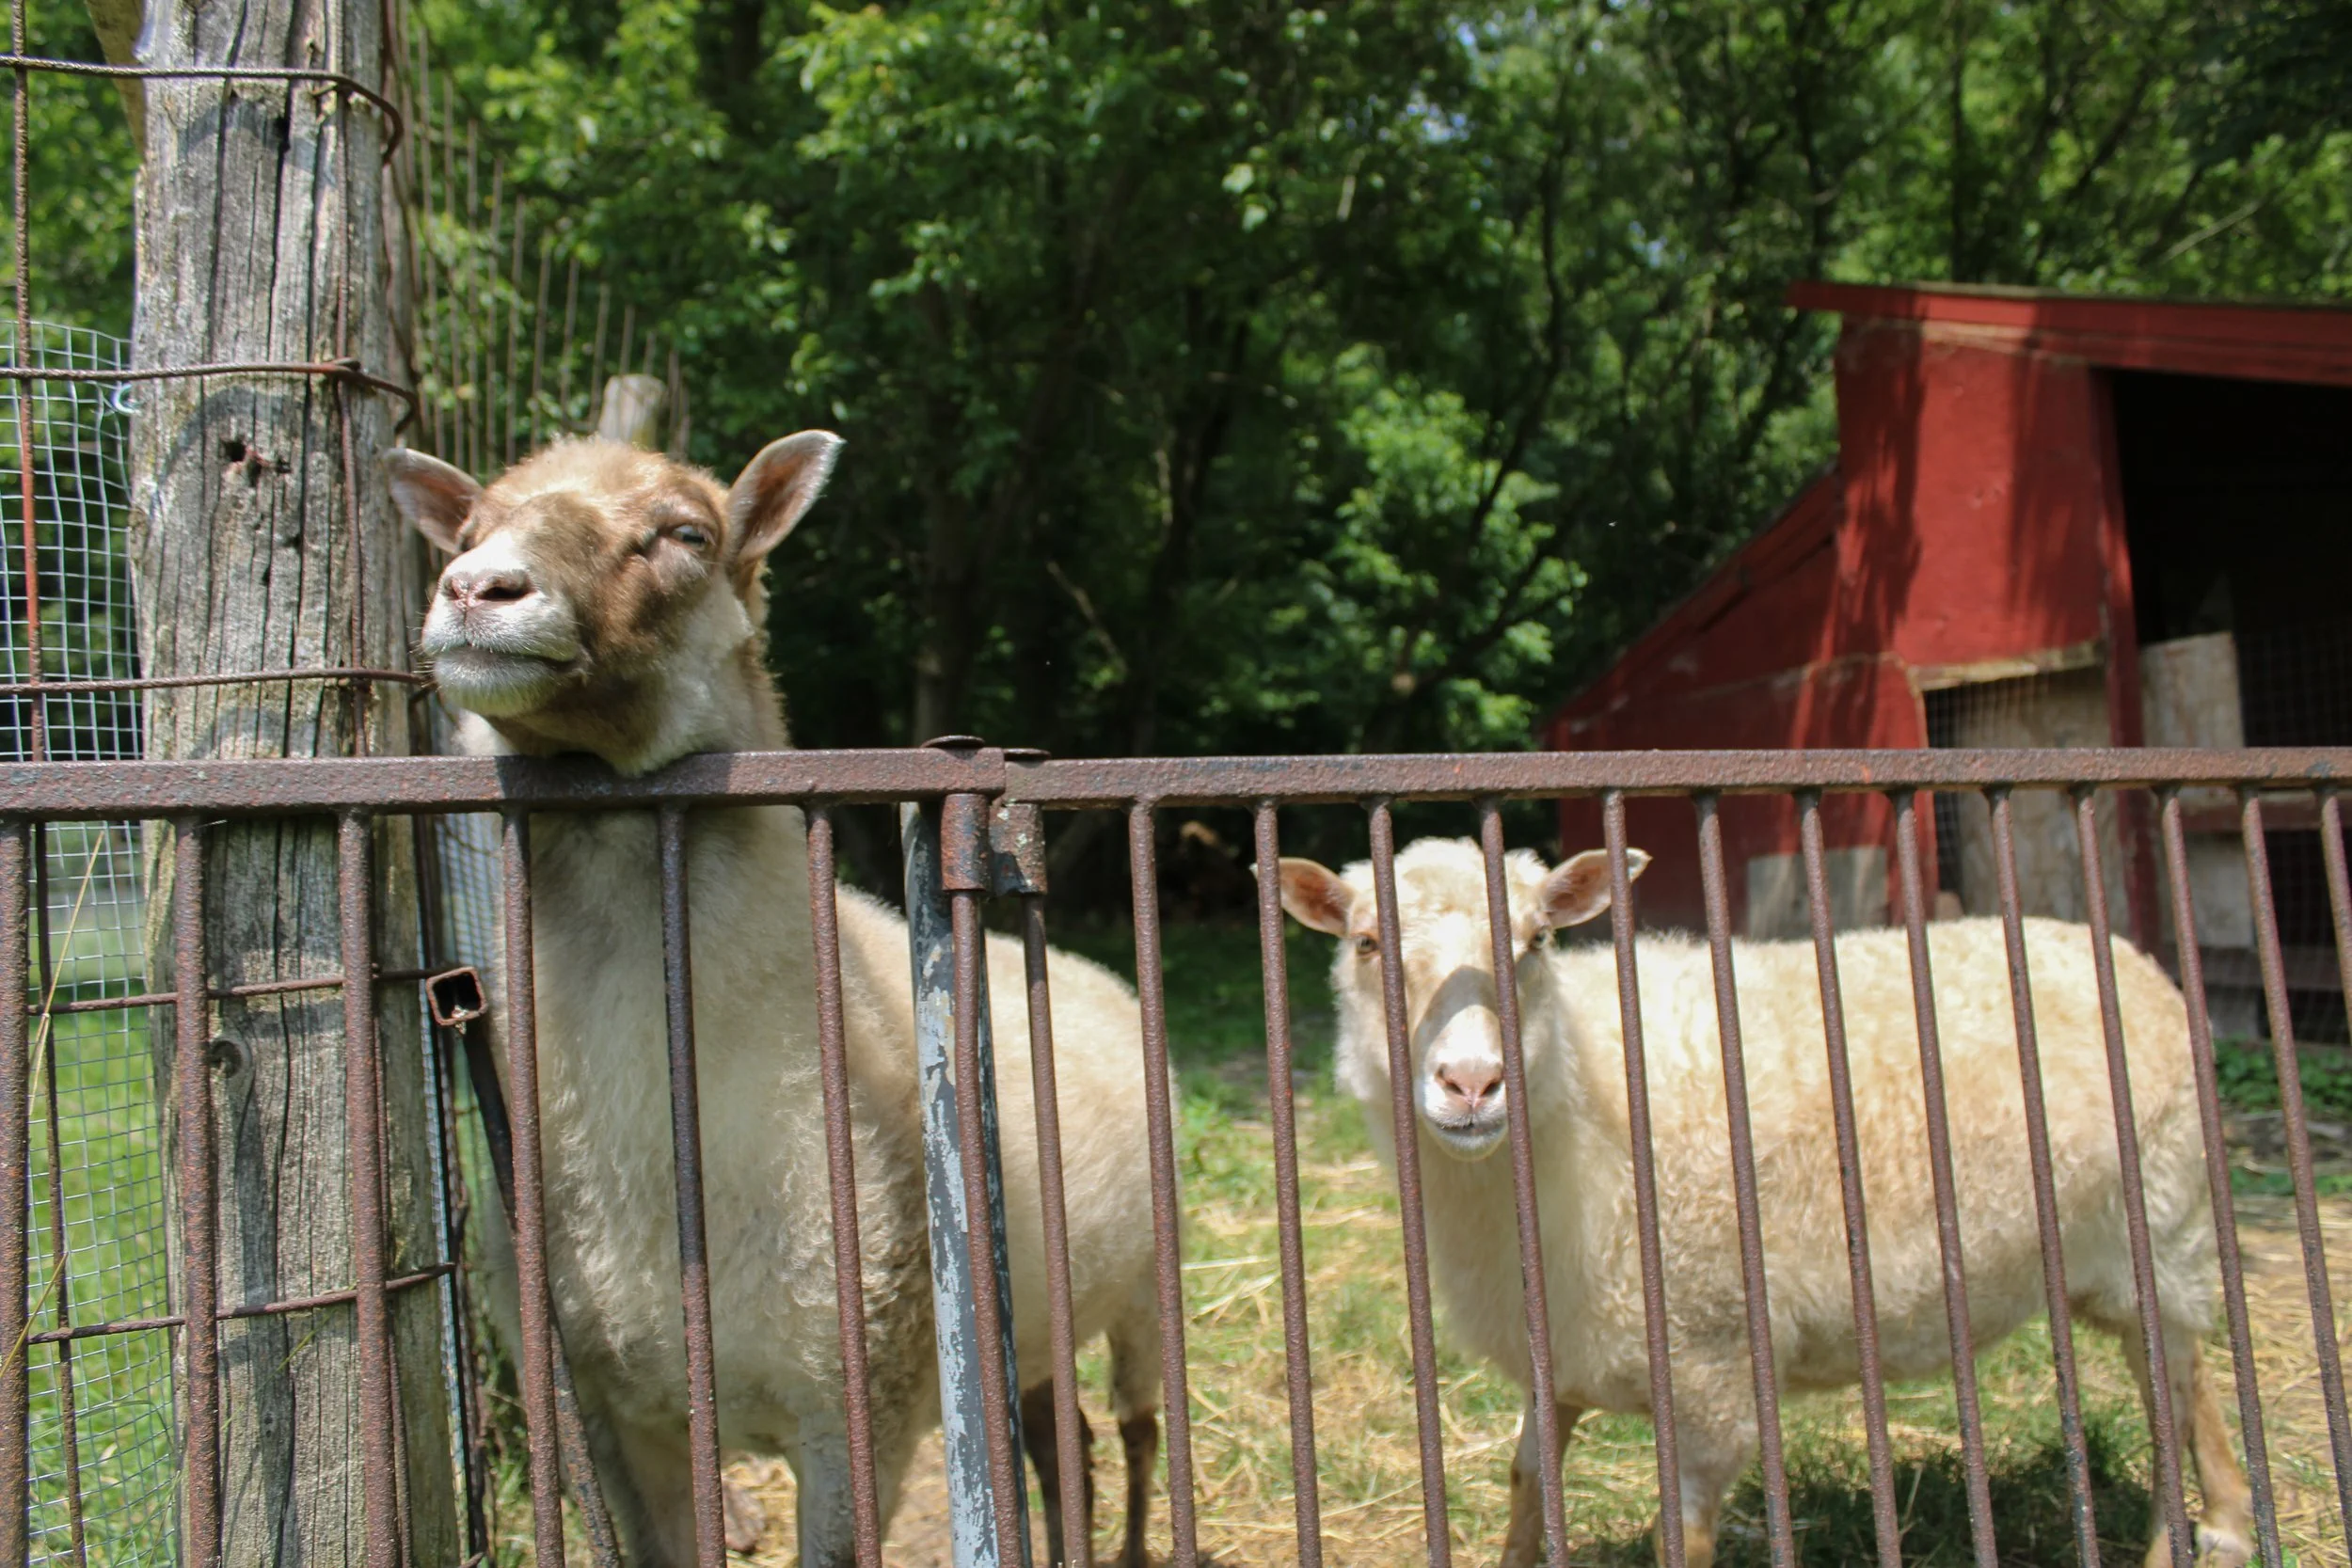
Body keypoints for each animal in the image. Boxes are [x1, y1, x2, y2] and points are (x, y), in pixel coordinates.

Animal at [384, 436, 1162, 1568]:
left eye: (688, 533)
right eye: (470, 528)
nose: (479, 589)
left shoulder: (859, 1396)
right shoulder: (614, 1418)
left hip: (1144, 1284)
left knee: (1141, 1431)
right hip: (1032, 1328)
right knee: (1066, 1443)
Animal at [1278, 836, 2254, 1568]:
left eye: (1537, 942)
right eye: (1366, 945)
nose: (1472, 1082)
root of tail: (2124, 951)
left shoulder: (1710, 1367)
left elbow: (1683, 1538)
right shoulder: (1559, 1344)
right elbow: (1526, 1486)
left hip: (2161, 1221)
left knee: (2176, 1390)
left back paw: (2201, 1534)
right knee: (2185, 1380)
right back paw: (2222, 1523)